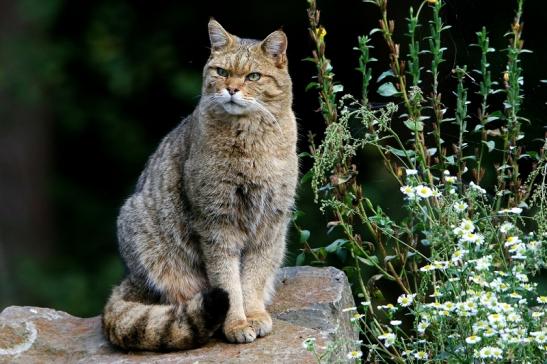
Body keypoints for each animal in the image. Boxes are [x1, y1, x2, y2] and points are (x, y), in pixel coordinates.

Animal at [103, 19, 300, 350]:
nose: (232, 89)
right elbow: (228, 283)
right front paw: (237, 324)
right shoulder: (215, 224)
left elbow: (254, 278)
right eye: (221, 71)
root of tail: (129, 278)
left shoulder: (270, 224)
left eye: (253, 76)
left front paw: (255, 315)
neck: (249, 139)